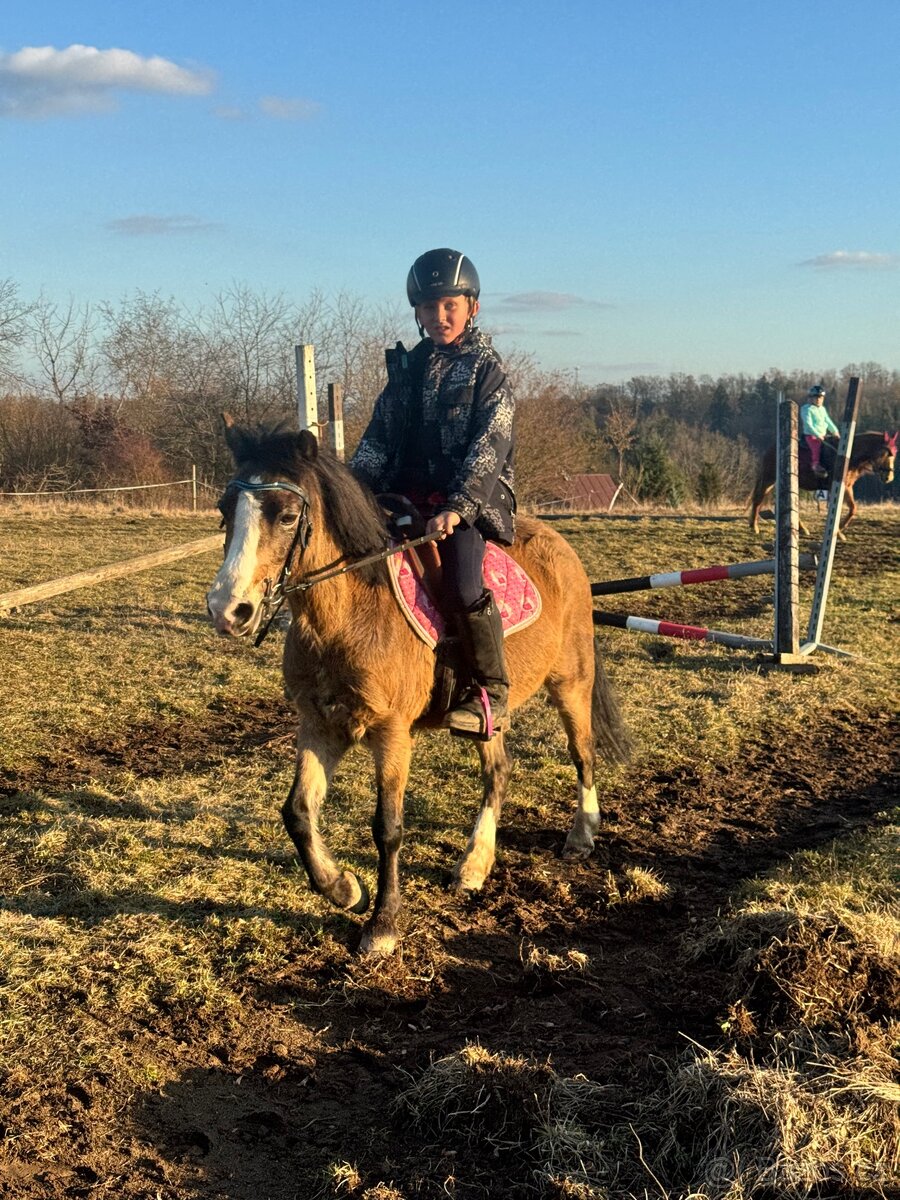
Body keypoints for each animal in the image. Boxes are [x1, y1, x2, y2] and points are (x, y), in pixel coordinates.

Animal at [207, 417, 630, 956]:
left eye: (285, 516)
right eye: (225, 510)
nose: (226, 610)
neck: (347, 614)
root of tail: (563, 549)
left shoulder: (391, 733)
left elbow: (387, 827)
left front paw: (383, 924)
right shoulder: (319, 723)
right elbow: (298, 813)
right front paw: (343, 888)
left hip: (571, 682)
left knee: (583, 755)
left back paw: (581, 836)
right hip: (489, 715)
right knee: (498, 772)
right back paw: (474, 866)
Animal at [749, 430, 897, 538]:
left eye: (893, 455)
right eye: (884, 453)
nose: (889, 477)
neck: (848, 457)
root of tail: (771, 449)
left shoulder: (847, 487)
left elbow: (853, 508)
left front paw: (840, 530)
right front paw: (838, 531)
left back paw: (801, 528)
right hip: (769, 478)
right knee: (758, 498)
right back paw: (754, 526)